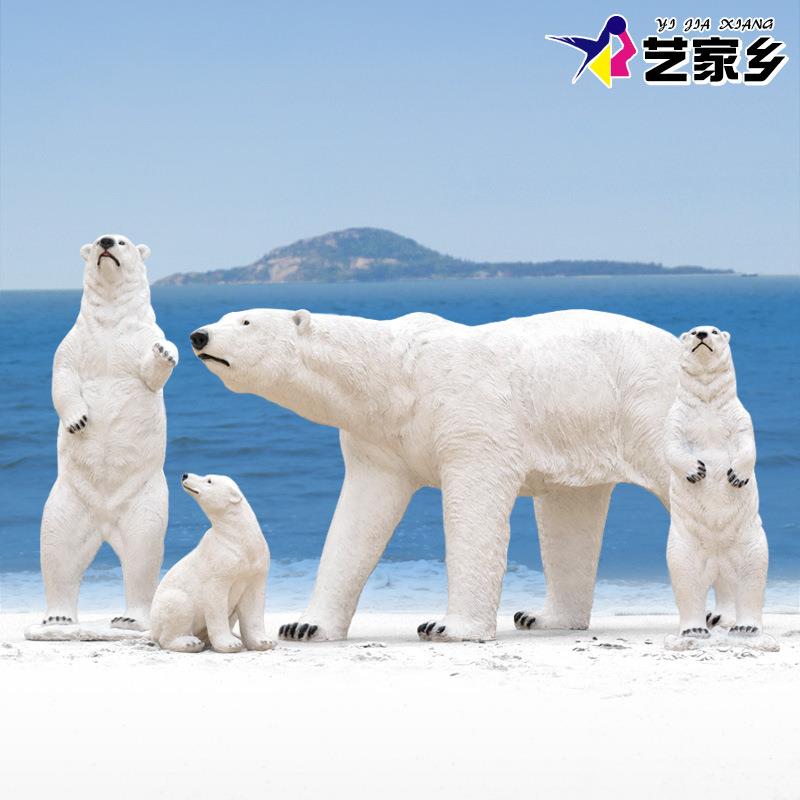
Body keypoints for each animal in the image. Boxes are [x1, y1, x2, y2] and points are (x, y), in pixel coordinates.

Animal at [28, 235, 177, 637]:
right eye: (98, 241)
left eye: (122, 242)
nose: (107, 242)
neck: (111, 322)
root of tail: (106, 524)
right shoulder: (75, 341)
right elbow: (62, 378)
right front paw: (78, 420)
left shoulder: (141, 337)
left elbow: (151, 371)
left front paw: (165, 352)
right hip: (68, 500)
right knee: (58, 547)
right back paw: (58, 617)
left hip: (144, 501)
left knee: (143, 552)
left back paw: (130, 618)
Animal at [150, 473, 272, 653]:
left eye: (209, 480)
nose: (185, 475)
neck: (236, 538)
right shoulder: (218, 562)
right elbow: (215, 600)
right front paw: (230, 644)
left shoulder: (256, 566)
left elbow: (253, 601)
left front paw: (264, 642)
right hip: (166, 606)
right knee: (179, 604)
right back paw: (189, 643)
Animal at [189, 307, 680, 642]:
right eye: (225, 316)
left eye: (246, 321)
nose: (198, 334)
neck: (396, 377)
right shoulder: (380, 441)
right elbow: (356, 524)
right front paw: (303, 625)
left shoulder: (469, 414)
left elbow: (475, 510)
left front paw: (447, 627)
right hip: (578, 425)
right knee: (568, 514)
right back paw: (543, 617)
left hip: (648, 405)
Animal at [664, 325, 770, 645]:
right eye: (690, 332)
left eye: (714, 331)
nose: (701, 334)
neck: (708, 404)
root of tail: (719, 566)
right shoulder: (676, 417)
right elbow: (672, 446)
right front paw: (697, 470)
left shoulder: (739, 416)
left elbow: (747, 445)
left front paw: (736, 476)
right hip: (685, 544)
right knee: (686, 577)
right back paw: (695, 628)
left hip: (749, 540)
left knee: (751, 576)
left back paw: (745, 626)